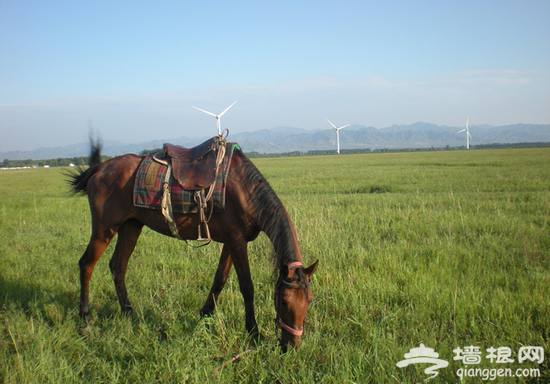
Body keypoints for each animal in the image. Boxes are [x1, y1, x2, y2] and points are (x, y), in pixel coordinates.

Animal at [68, 136, 320, 350]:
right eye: (284, 302)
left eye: (309, 300)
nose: (291, 346)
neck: (244, 190)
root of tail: (101, 168)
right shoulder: (237, 241)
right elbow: (246, 287)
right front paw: (253, 331)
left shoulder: (231, 242)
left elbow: (219, 280)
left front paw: (204, 314)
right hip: (104, 229)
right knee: (87, 264)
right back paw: (86, 317)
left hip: (131, 226)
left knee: (118, 266)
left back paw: (129, 314)